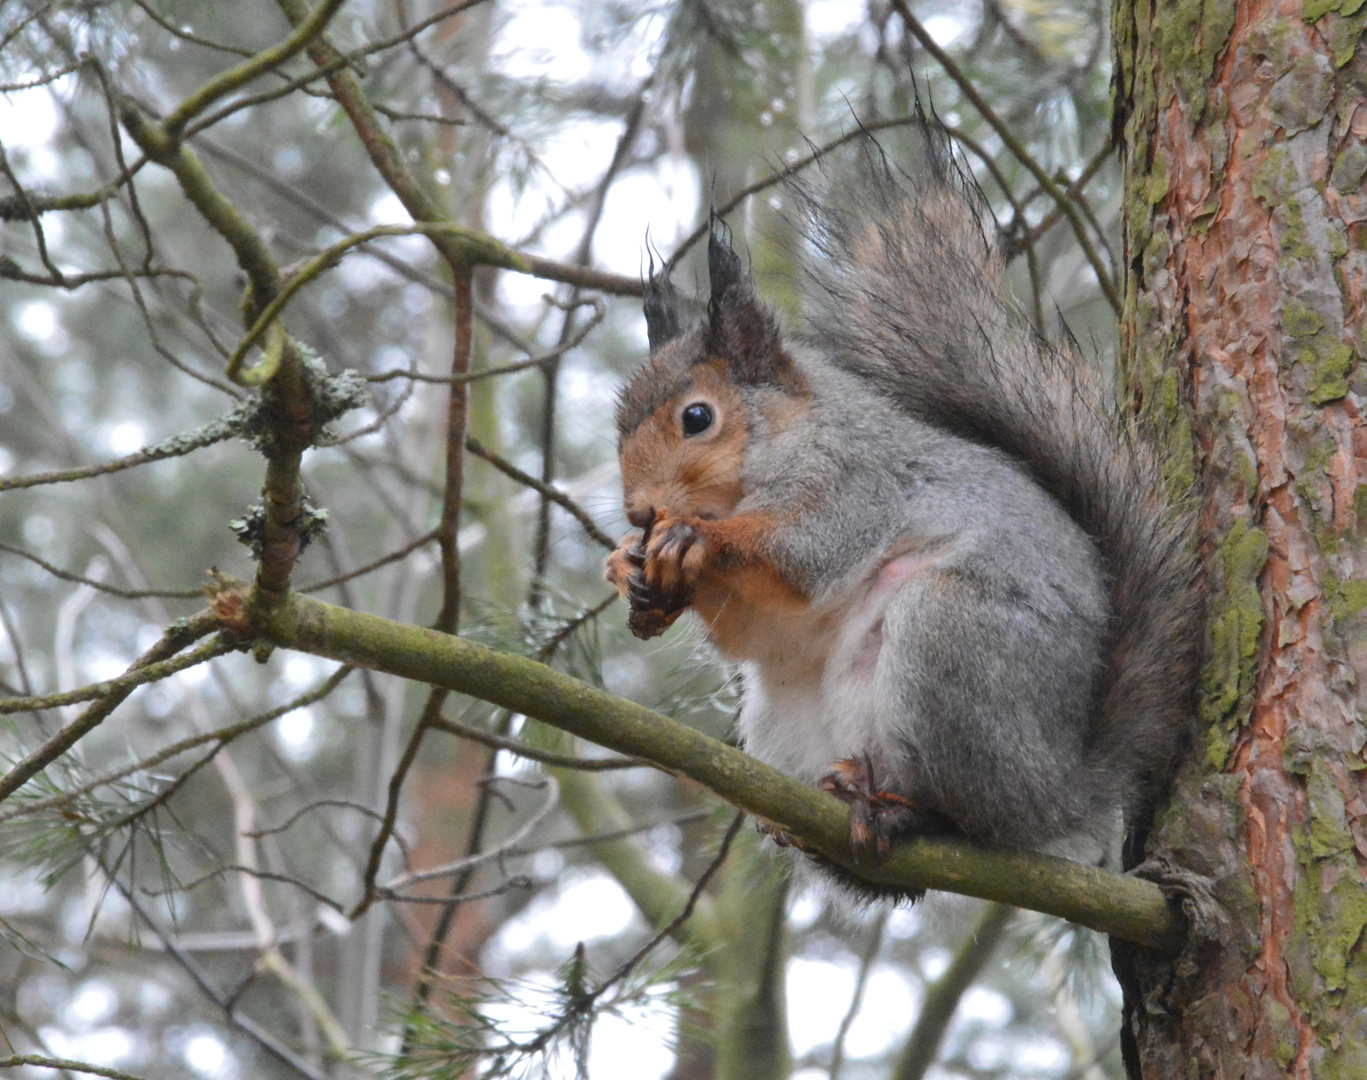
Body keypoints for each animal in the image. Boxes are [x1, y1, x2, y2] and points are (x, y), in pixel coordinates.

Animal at [604, 122, 1202, 880]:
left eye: (697, 418)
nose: (638, 512)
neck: (778, 444)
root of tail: (1059, 791)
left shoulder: (858, 484)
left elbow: (803, 557)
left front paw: (693, 540)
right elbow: (749, 631)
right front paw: (631, 573)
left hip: (949, 637)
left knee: (973, 821)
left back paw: (906, 813)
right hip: (779, 725)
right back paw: (829, 815)